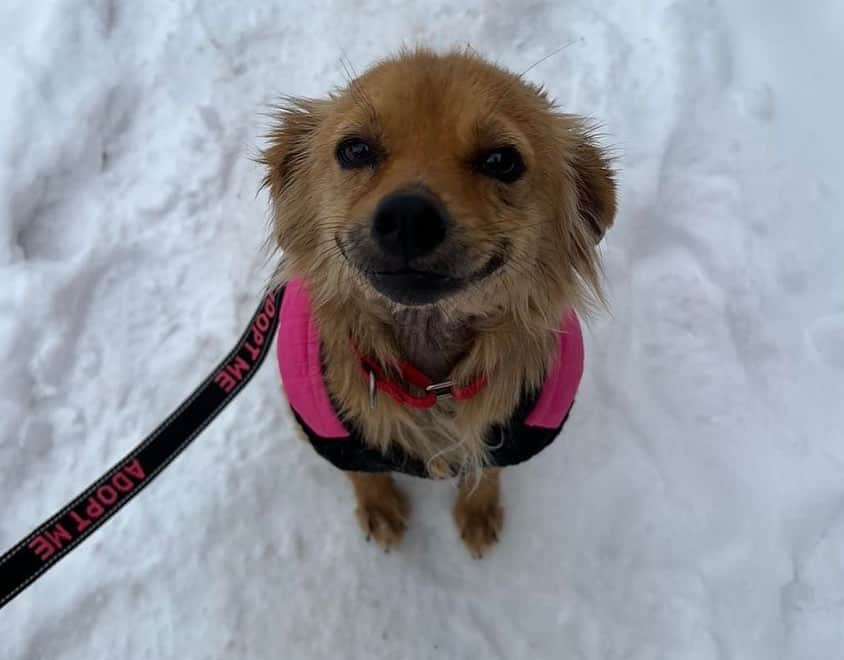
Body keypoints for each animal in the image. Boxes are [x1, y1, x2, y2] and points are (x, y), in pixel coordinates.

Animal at [260, 49, 616, 560]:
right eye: (354, 150)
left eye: (502, 160)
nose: (409, 216)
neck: (432, 381)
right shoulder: (329, 431)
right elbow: (363, 472)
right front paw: (380, 506)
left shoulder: (510, 433)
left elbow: (486, 468)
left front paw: (478, 511)